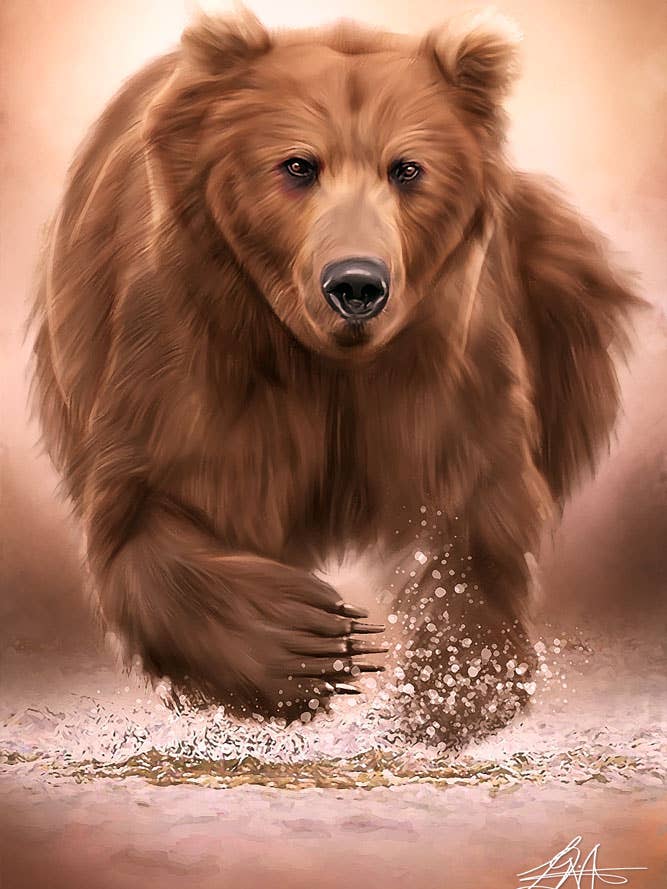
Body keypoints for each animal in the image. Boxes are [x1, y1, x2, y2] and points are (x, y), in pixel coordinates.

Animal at [27, 8, 641, 742]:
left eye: (407, 168)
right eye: (297, 164)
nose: (356, 285)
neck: (324, 360)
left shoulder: (438, 364)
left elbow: (472, 507)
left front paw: (456, 687)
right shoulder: (191, 354)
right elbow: (151, 506)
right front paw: (316, 643)